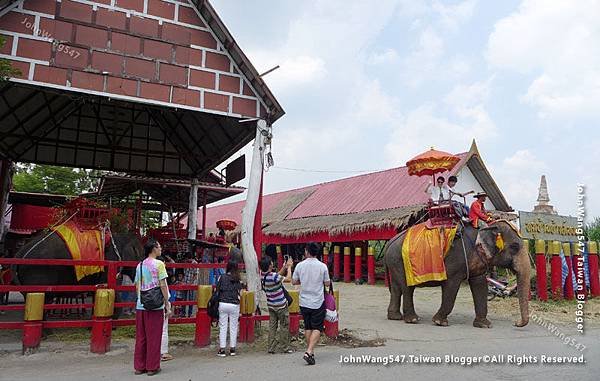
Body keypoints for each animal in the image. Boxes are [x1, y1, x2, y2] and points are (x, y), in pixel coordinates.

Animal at [384, 220, 528, 326]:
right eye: (515, 246)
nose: (516, 323)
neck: (485, 227)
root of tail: (390, 242)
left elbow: (480, 285)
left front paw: (484, 324)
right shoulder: (456, 262)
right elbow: (451, 286)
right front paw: (439, 322)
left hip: (395, 263)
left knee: (397, 288)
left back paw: (395, 317)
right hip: (401, 261)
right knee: (407, 288)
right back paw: (413, 320)